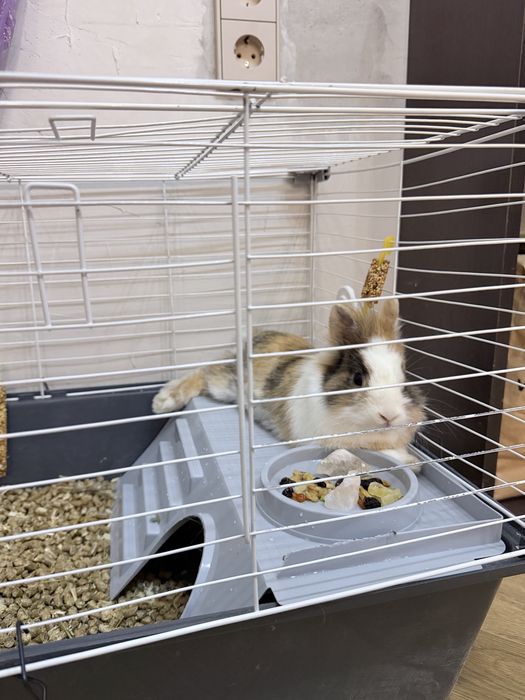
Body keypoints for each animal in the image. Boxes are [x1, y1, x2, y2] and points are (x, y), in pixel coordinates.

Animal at [152, 298, 425, 468]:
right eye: (358, 378)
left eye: (404, 376)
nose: (389, 415)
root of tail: (255, 336)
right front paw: (412, 463)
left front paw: (412, 461)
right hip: (225, 383)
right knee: (203, 373)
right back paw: (163, 401)